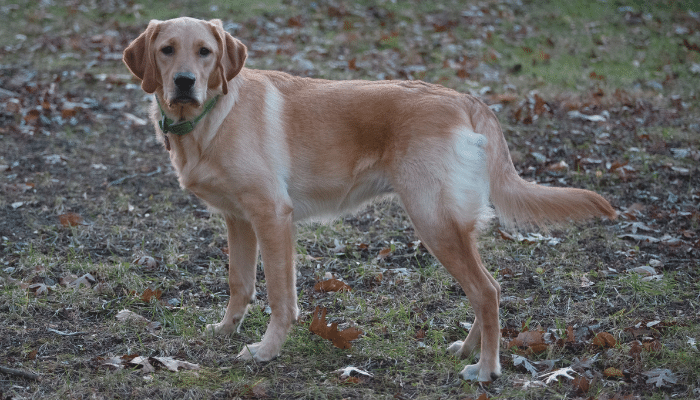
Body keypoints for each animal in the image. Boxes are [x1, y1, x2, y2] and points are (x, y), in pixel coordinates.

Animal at [123, 18, 616, 382]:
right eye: (167, 49)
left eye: (205, 52)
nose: (184, 82)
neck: (210, 117)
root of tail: (465, 99)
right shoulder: (238, 218)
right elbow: (239, 284)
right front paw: (226, 331)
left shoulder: (272, 216)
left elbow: (281, 297)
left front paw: (266, 351)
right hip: (451, 224)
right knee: (487, 288)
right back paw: (468, 349)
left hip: (433, 221)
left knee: (487, 291)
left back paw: (487, 369)